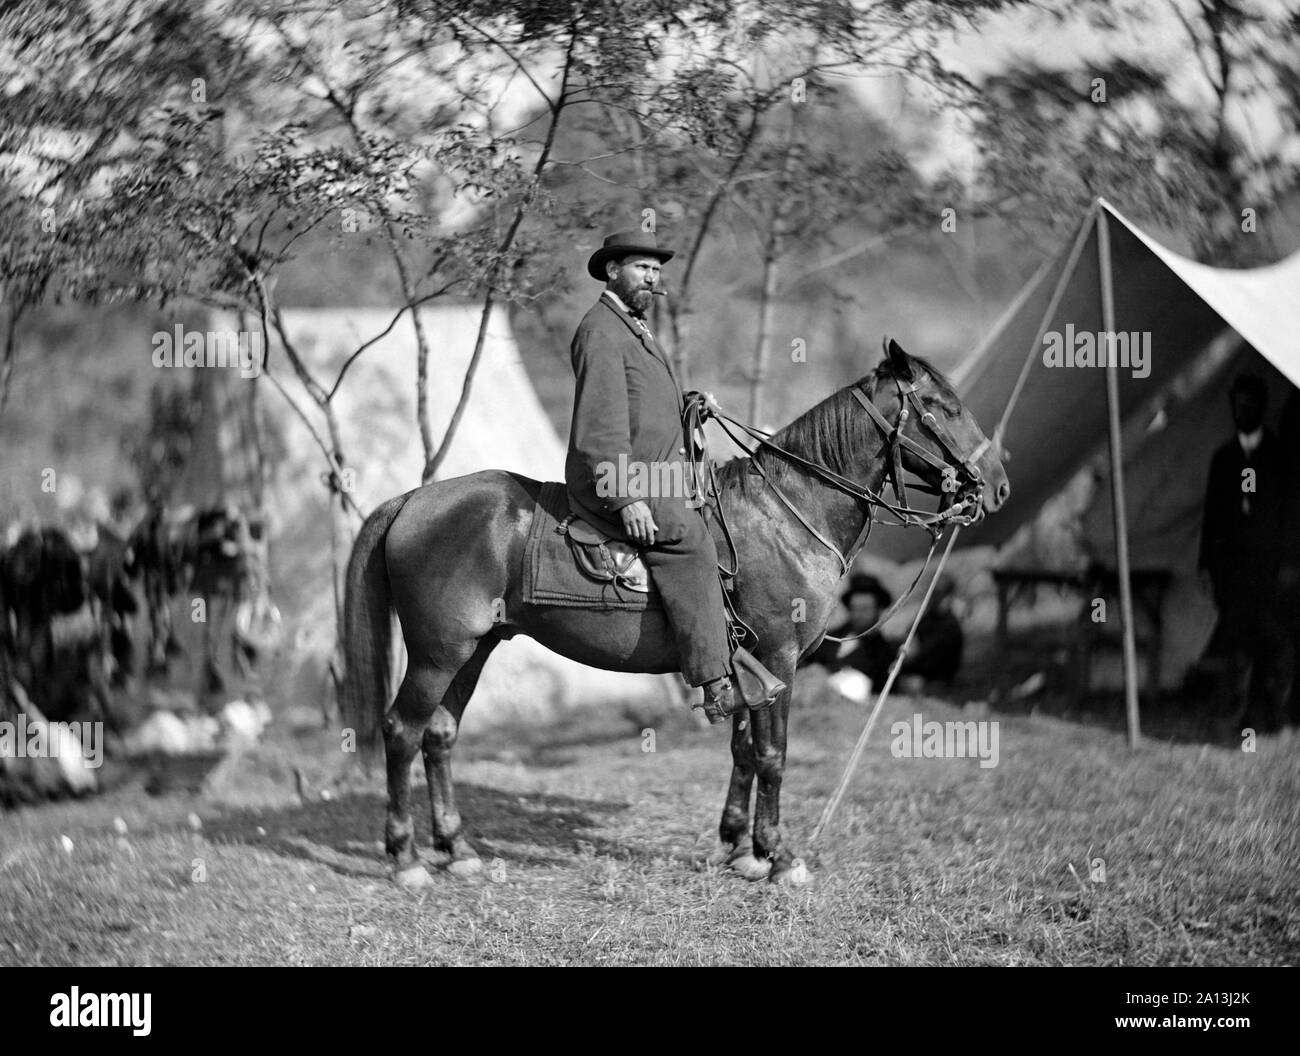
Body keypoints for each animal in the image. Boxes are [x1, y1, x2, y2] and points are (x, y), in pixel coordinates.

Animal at [340, 343, 1008, 884]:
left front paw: (739, 848)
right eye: (941, 406)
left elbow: (744, 750)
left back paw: (456, 848)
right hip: (438, 653)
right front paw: (779, 856)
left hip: (474, 650)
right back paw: (406, 859)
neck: (786, 512)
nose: (997, 485)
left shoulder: (748, 666)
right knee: (401, 732)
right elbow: (773, 755)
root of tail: (413, 499)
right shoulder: (778, 658)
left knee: (439, 735)